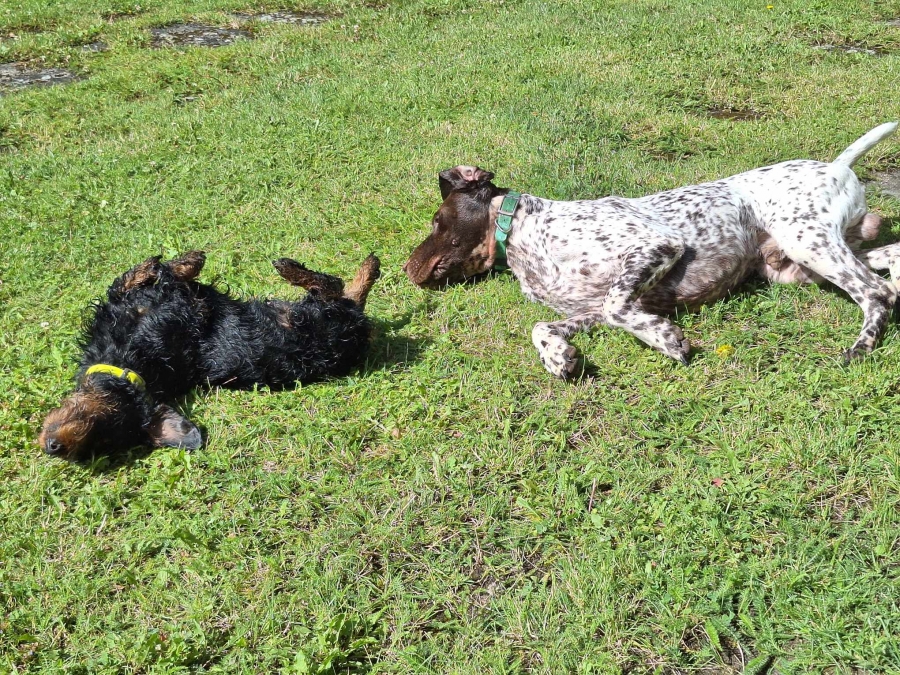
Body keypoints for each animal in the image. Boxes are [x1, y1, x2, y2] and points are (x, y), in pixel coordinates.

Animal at [39, 251, 380, 458]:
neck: (130, 362)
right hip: (316, 318)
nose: (53, 448)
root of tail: (358, 335)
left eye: (97, 423)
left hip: (313, 317)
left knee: (335, 286)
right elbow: (139, 280)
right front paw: (179, 263)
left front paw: (185, 261)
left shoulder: (177, 306)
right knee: (336, 289)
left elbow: (143, 278)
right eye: (99, 437)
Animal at [404, 122, 900, 377]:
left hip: (807, 241)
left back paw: (860, 347)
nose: (406, 268)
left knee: (876, 293)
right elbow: (542, 326)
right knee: (889, 262)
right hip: (801, 263)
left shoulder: (654, 247)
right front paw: (558, 356)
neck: (524, 229)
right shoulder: (592, 308)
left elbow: (619, 308)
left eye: (436, 221)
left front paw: (666, 339)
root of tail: (837, 165)